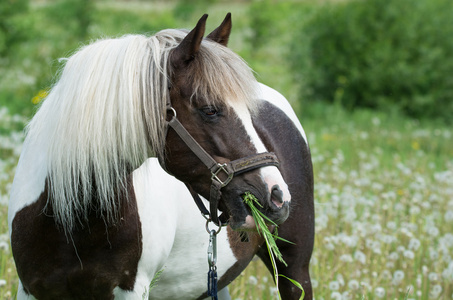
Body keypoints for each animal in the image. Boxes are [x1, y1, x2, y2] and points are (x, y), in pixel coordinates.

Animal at [8, 14, 312, 300]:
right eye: (210, 110)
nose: (277, 195)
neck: (68, 221)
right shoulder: (30, 290)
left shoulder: (131, 290)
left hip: (295, 270)